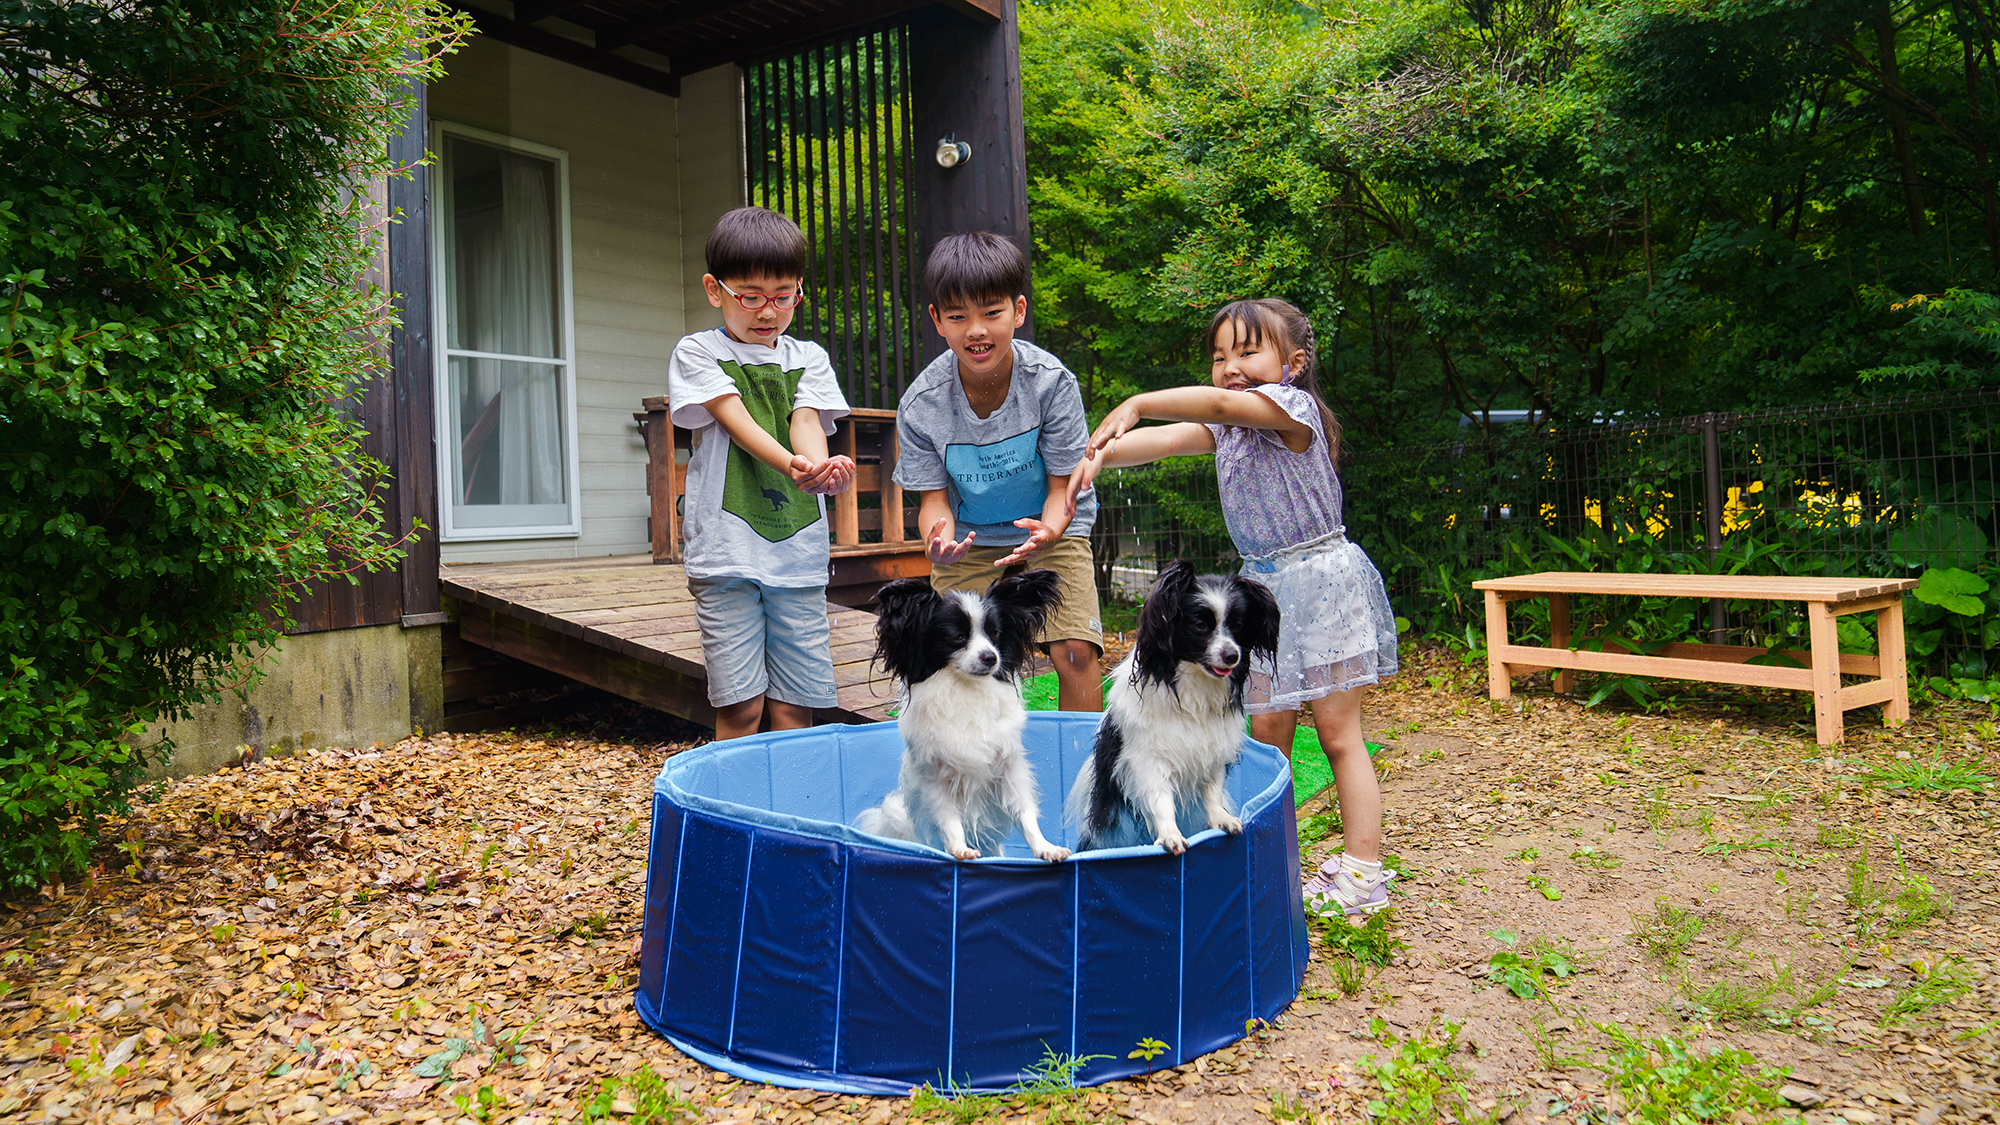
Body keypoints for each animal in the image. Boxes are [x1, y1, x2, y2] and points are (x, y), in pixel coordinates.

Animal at [860, 564, 1080, 860]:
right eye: (957, 637)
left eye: (995, 634)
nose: (991, 657)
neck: (966, 690)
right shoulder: (935, 780)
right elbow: (949, 819)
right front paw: (960, 850)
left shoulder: (1009, 769)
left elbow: (1025, 813)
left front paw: (1045, 847)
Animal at [1080, 556, 1280, 852]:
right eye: (1201, 626)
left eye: (1238, 626)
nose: (1232, 655)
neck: (1193, 688)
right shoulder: (1148, 759)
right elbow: (1161, 799)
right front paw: (1170, 834)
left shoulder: (1214, 750)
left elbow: (1212, 789)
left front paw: (1220, 818)